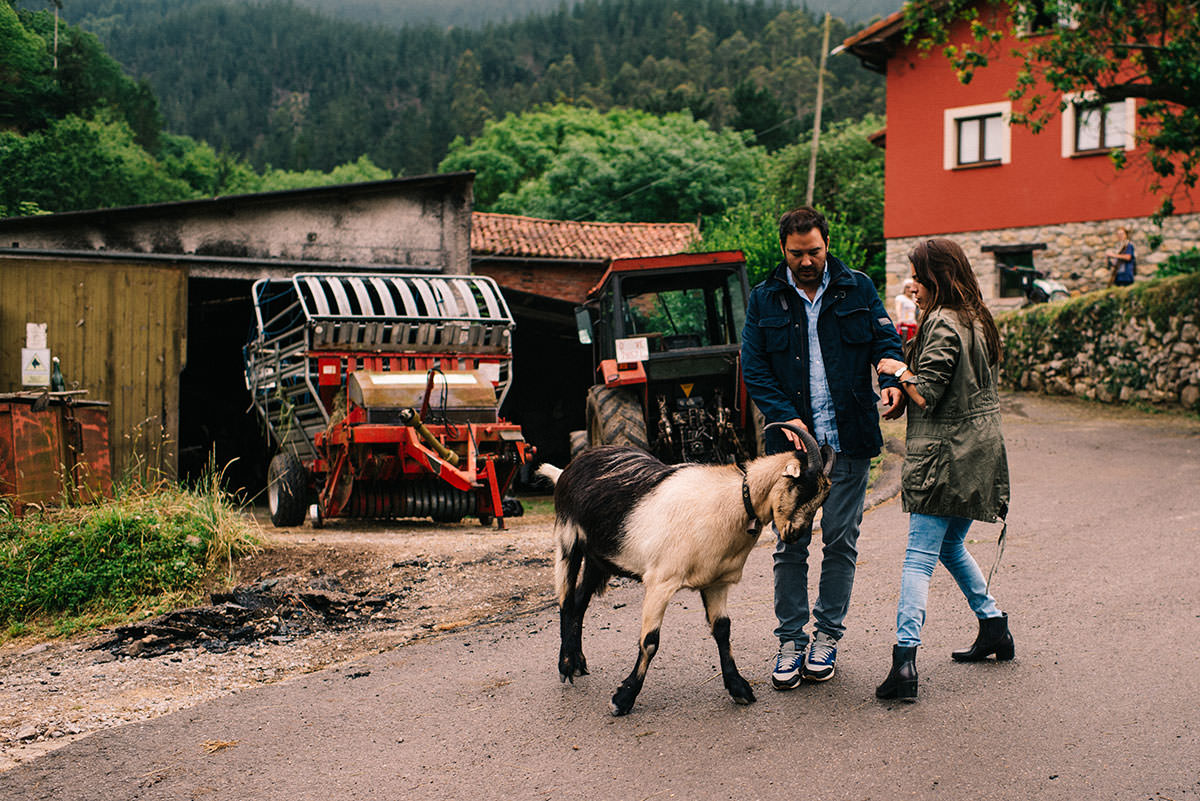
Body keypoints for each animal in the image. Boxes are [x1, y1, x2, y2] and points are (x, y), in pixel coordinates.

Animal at [537, 429, 835, 714]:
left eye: (822, 498)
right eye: (801, 487)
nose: (795, 535)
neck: (732, 502)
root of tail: (566, 470)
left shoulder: (716, 582)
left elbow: (722, 631)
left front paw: (738, 688)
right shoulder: (660, 582)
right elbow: (650, 641)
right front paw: (623, 698)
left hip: (599, 559)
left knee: (579, 603)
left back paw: (578, 662)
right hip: (568, 541)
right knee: (565, 601)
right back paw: (565, 665)